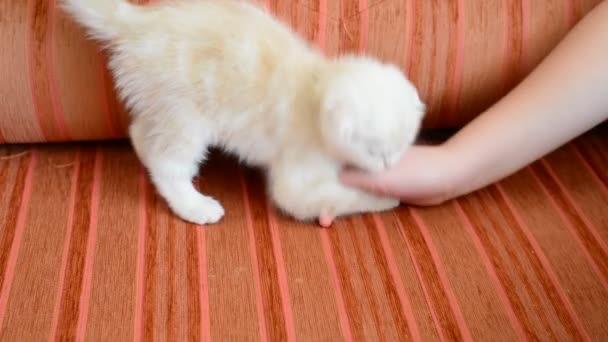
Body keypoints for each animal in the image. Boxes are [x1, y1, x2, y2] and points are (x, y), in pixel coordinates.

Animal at [60, 0, 422, 227]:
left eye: (401, 147)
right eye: (374, 151)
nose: (389, 165)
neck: (314, 87)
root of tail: (138, 22)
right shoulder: (296, 182)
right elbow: (340, 196)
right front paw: (386, 199)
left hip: (163, 106)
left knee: (139, 132)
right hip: (187, 118)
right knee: (167, 166)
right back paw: (195, 206)